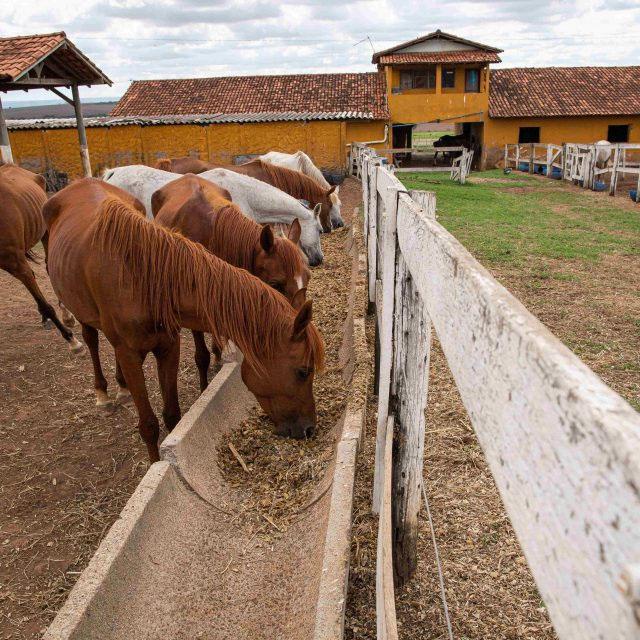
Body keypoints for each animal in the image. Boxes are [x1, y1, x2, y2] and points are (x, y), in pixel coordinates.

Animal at [0, 161, 82, 350]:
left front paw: (71, 340)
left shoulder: (16, 263)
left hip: (46, 232)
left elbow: (44, 304)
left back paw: (66, 315)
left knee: (48, 267)